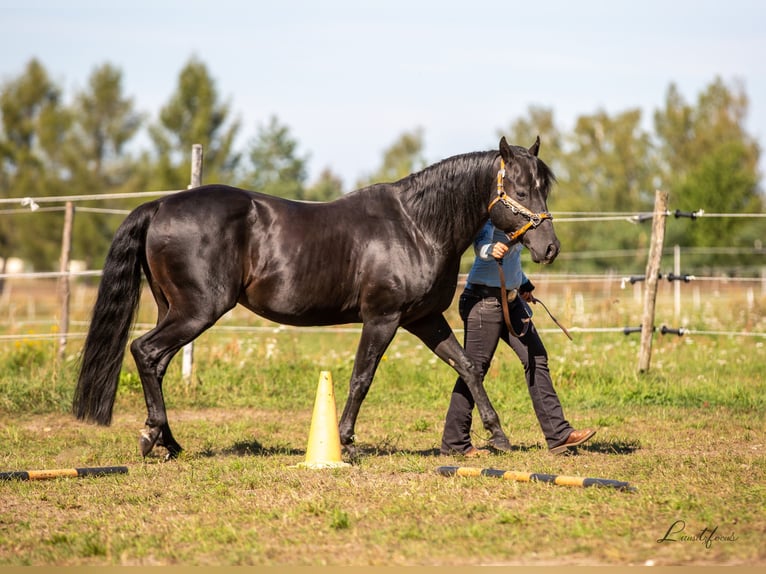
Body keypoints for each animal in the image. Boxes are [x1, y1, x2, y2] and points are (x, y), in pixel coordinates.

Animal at [73, 136, 559, 460]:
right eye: (520, 190)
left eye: (542, 188)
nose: (549, 248)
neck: (416, 226)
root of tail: (160, 205)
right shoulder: (383, 318)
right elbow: (361, 378)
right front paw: (344, 442)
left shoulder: (424, 320)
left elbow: (468, 368)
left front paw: (498, 436)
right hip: (197, 311)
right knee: (145, 351)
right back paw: (152, 438)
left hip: (174, 310)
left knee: (156, 361)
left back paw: (169, 442)